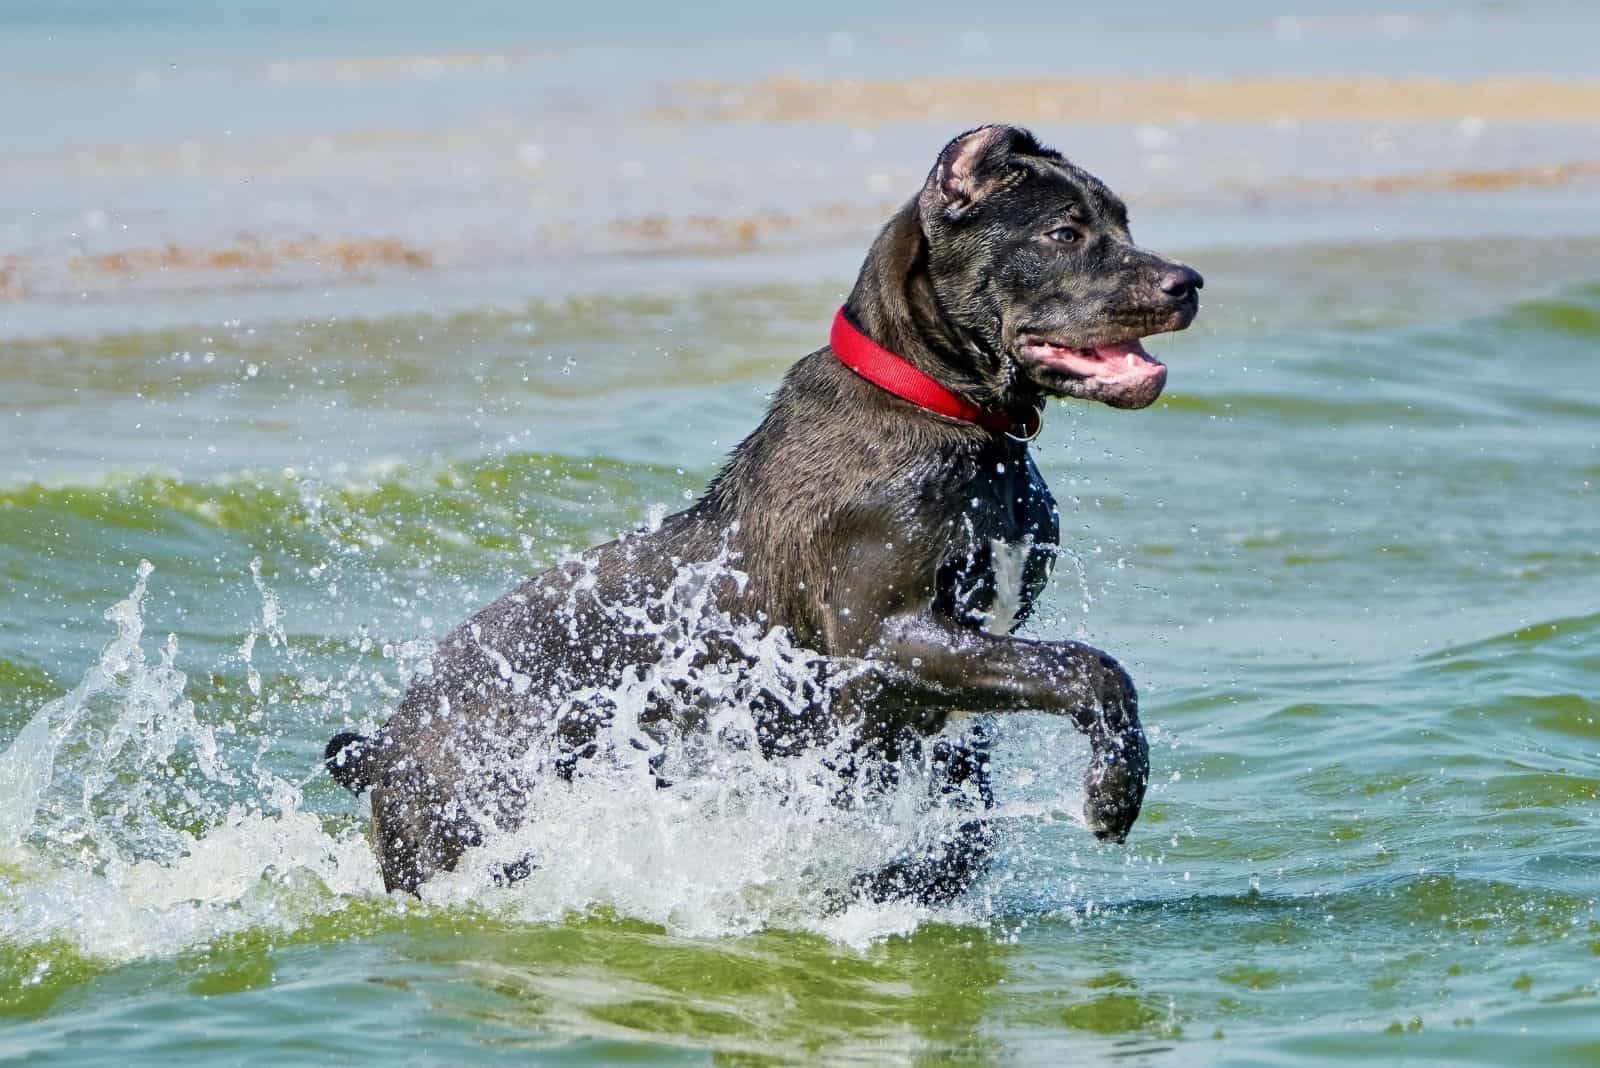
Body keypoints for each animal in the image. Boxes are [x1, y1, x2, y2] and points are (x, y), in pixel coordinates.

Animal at [324, 123, 1203, 901]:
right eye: (1063, 232)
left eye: (1122, 223)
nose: (1187, 283)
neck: (939, 408)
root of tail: (387, 745)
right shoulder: (890, 637)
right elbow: (1089, 667)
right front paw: (1114, 792)